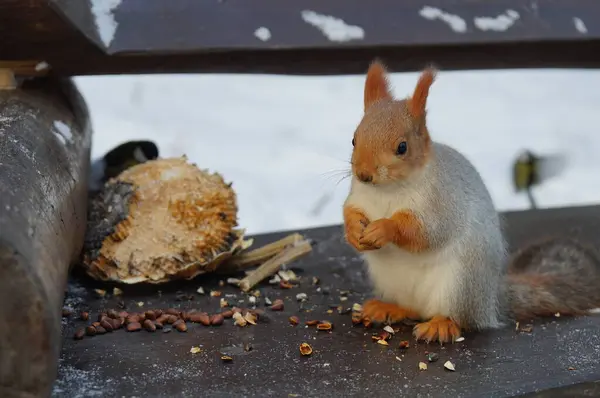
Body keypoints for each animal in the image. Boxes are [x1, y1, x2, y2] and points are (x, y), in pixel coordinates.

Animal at [344, 60, 600, 344]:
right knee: (411, 308)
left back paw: (441, 325)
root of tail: (489, 303)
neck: (386, 191)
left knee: (460, 318)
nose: (364, 174)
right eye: (354, 139)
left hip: (461, 284)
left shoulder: (443, 202)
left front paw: (384, 228)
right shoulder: (358, 196)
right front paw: (353, 230)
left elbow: (425, 232)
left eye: (402, 147)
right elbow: (349, 210)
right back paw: (387, 308)